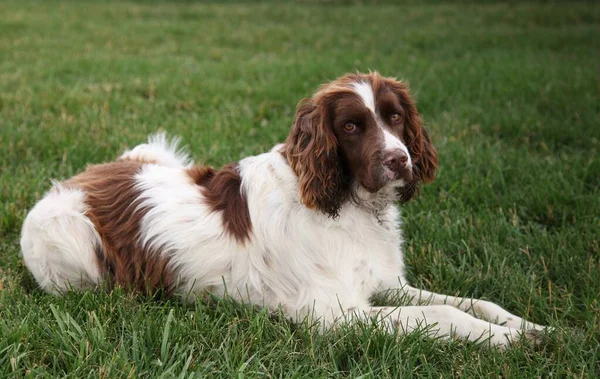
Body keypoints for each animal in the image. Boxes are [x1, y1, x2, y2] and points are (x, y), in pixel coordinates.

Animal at [21, 71, 548, 348]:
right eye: (351, 127)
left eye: (396, 117)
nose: (401, 160)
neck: (346, 206)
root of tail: (72, 181)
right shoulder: (333, 313)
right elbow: (443, 316)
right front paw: (508, 341)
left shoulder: (382, 284)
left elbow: (471, 302)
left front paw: (528, 325)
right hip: (71, 239)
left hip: (153, 153)